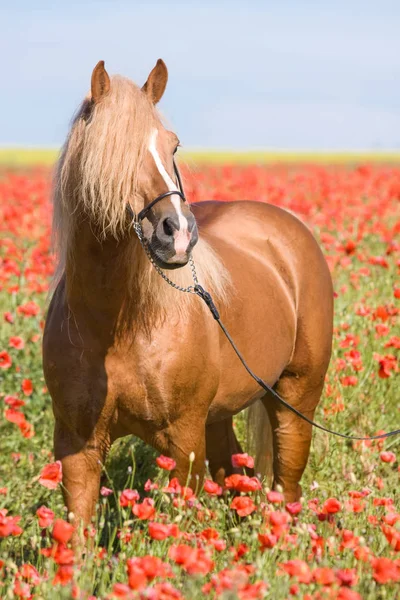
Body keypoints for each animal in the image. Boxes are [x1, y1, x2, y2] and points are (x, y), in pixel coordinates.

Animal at [41, 59, 334, 528]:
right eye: (111, 150)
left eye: (173, 146)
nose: (176, 234)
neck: (117, 327)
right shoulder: (77, 447)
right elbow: (78, 534)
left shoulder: (183, 442)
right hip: (219, 417)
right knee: (236, 475)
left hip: (295, 397)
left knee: (286, 484)